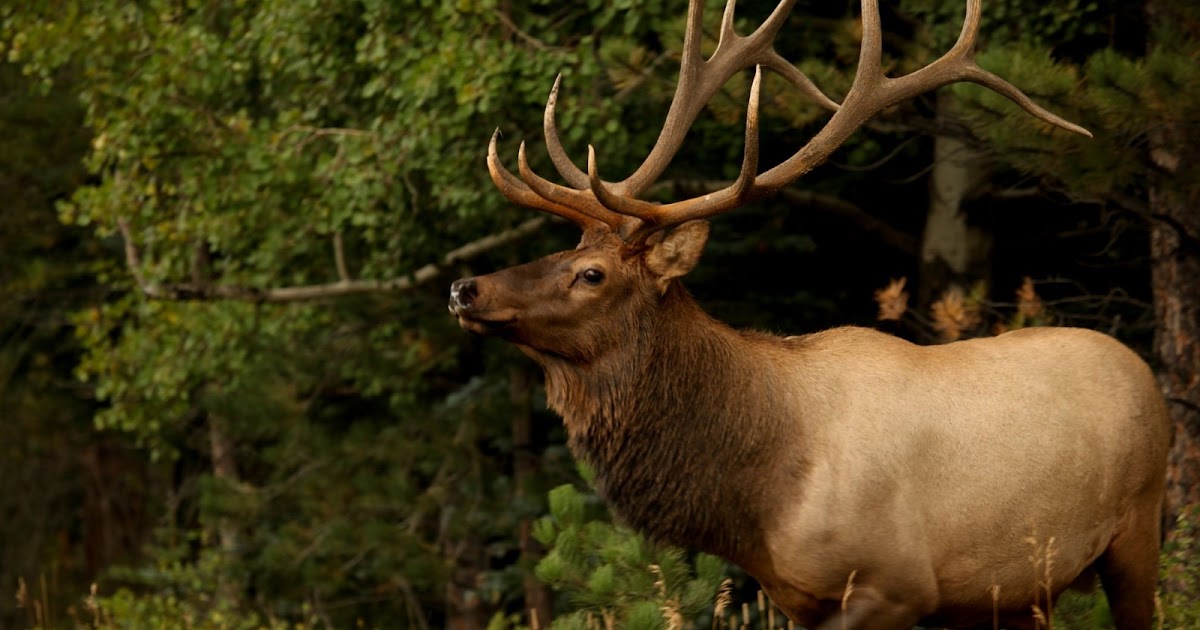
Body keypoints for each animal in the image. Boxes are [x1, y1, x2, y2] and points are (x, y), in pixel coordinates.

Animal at [448, 0, 1170, 628]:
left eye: (591, 274)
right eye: (561, 250)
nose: (464, 288)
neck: (757, 498)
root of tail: (1145, 372)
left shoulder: (898, 584)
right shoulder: (797, 596)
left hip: (1138, 527)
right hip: (1020, 593)